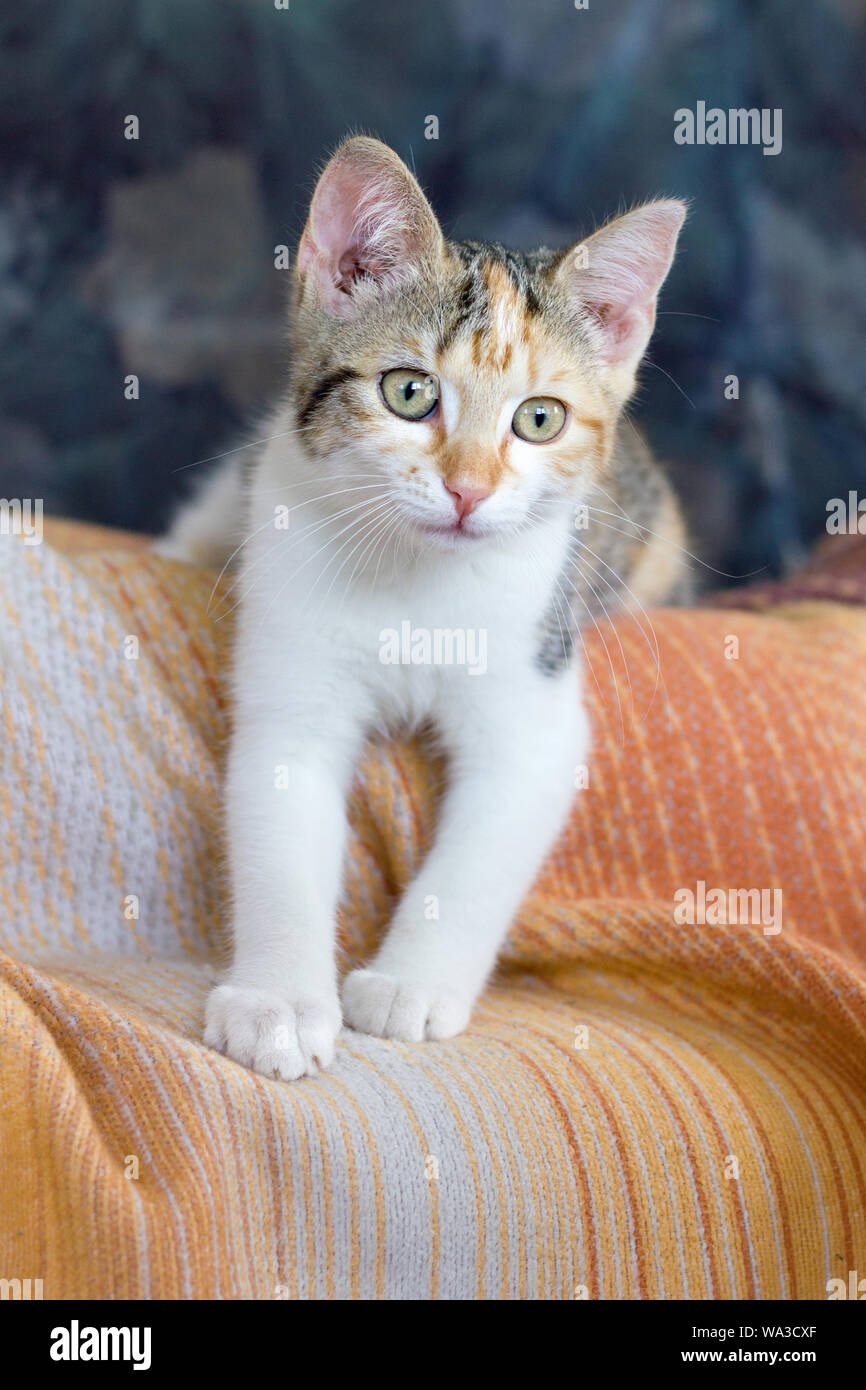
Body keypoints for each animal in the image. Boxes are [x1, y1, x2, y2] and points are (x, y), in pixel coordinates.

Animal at [161, 135, 692, 1078]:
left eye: (540, 419)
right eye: (409, 393)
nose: (469, 490)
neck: (416, 580)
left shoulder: (537, 689)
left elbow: (485, 851)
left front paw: (411, 984)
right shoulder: (290, 674)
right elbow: (279, 824)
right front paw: (277, 1001)